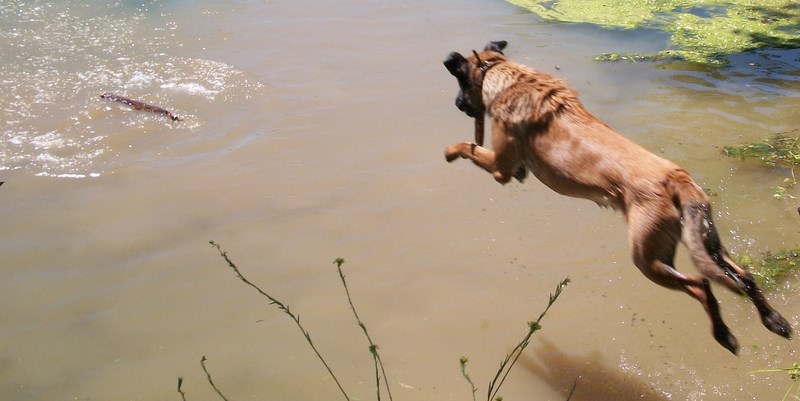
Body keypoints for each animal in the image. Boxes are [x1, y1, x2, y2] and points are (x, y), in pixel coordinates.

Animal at [444, 40, 792, 354]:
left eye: (460, 83)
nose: (458, 105)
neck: (503, 74)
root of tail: (675, 177)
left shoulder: (500, 169)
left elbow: (466, 146)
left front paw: (449, 152)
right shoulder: (515, 170)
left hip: (647, 257)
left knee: (701, 286)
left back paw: (724, 335)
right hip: (706, 242)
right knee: (743, 276)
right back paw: (775, 321)